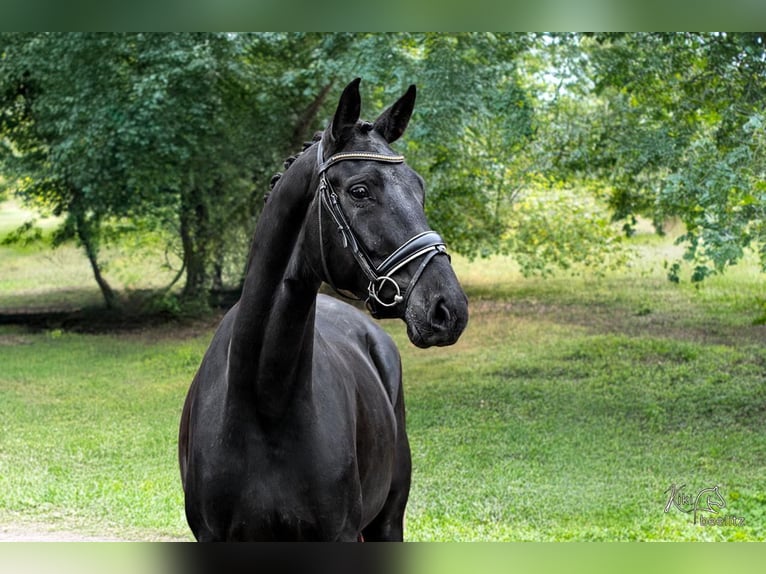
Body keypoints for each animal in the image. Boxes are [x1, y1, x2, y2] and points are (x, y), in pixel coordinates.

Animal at [178, 78, 469, 541]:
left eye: (419, 187)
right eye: (360, 190)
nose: (448, 308)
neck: (264, 400)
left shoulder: (340, 533)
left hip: (388, 522)